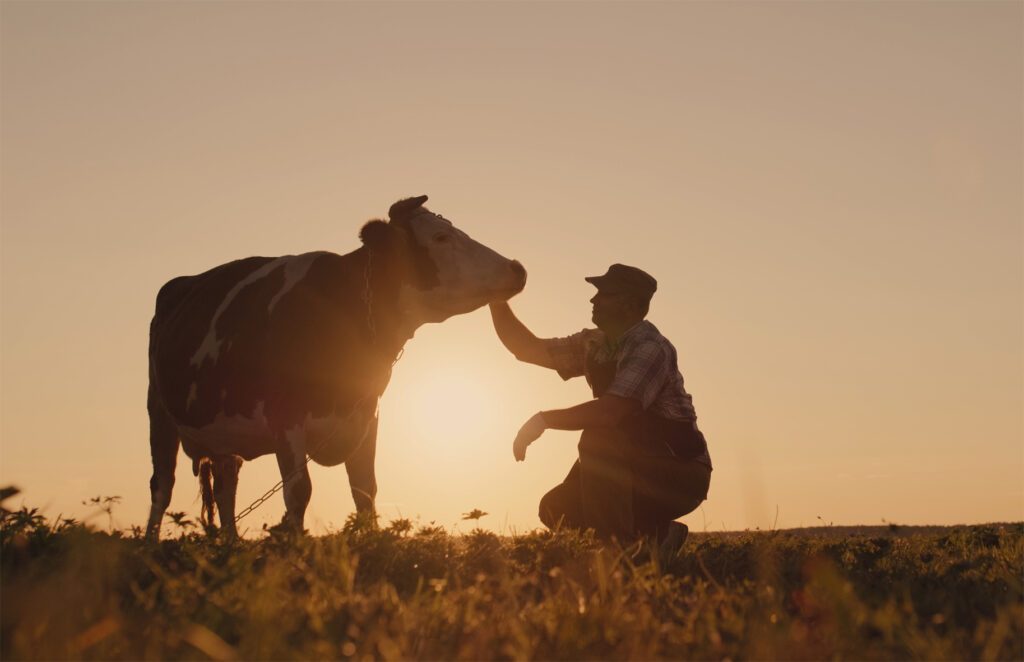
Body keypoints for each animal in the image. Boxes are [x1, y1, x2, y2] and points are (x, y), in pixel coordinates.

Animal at [147, 196, 524, 541]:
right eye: (441, 237)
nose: (517, 268)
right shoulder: (286, 418)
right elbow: (299, 492)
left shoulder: (367, 414)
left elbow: (365, 490)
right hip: (159, 413)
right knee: (162, 485)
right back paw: (151, 543)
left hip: (225, 437)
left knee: (226, 487)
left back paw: (231, 546)